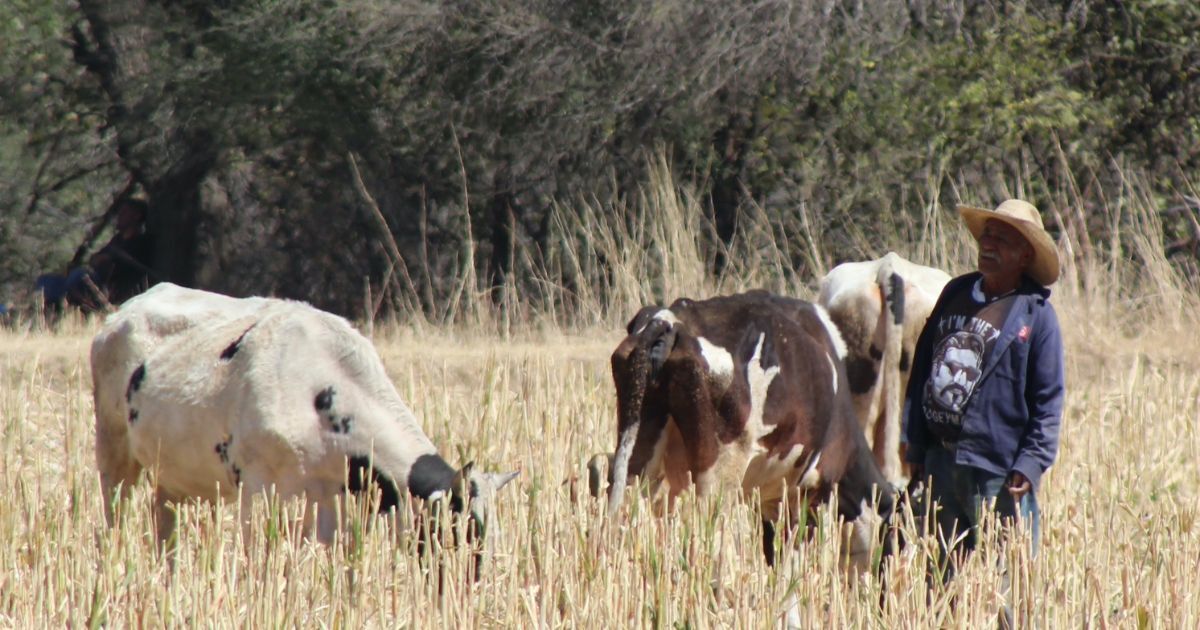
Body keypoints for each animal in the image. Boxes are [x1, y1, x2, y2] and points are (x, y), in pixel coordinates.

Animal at [92, 282, 516, 547]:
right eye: (461, 532)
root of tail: (123, 312)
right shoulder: (258, 490)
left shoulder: (333, 509)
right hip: (113, 448)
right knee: (114, 512)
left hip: (173, 473)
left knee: (163, 522)